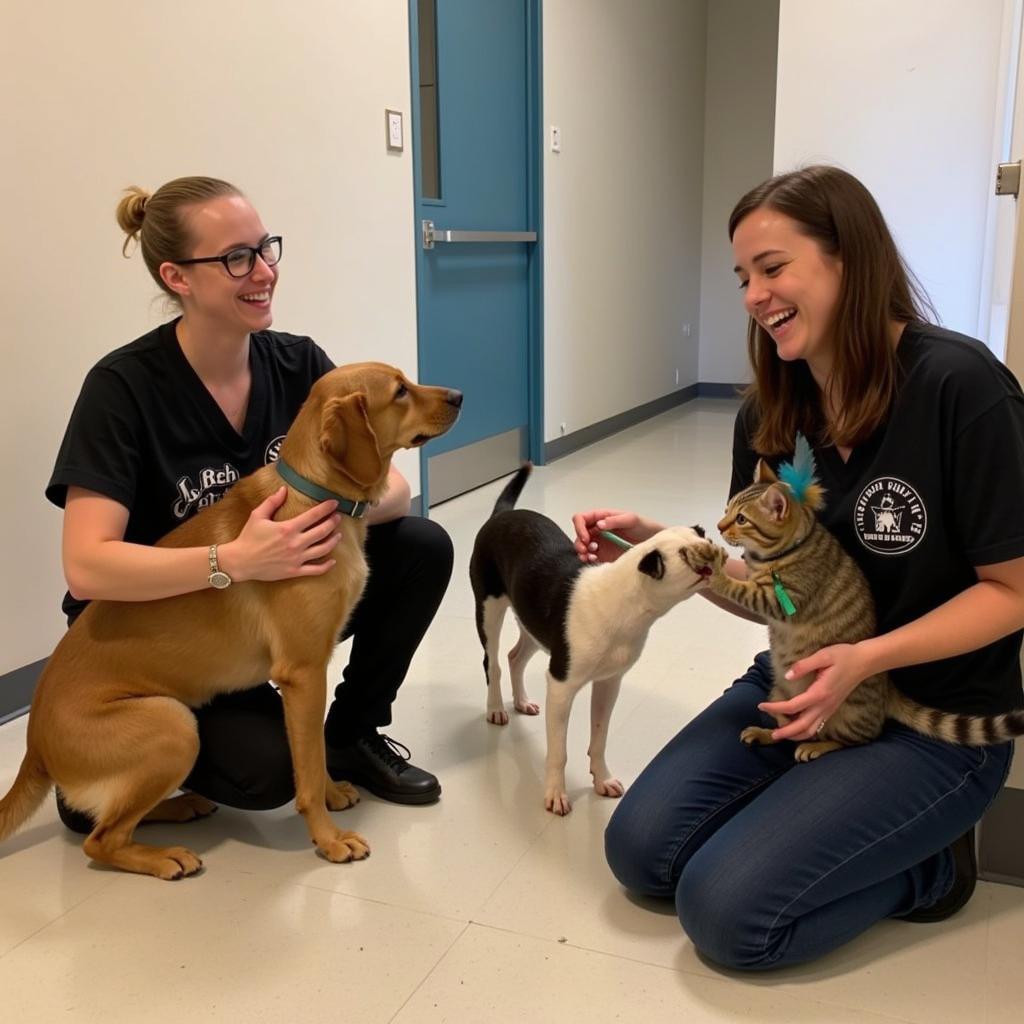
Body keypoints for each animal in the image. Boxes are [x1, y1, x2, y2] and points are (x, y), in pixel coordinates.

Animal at [0, 362, 460, 880]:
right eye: (400, 391)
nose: (459, 396)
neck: (314, 494)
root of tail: (35, 745)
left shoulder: (310, 675)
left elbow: (315, 753)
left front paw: (331, 792)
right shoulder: (303, 674)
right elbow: (306, 765)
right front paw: (327, 838)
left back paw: (181, 806)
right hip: (174, 725)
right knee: (100, 839)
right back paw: (164, 856)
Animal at [468, 466, 708, 815]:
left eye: (704, 540)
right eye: (688, 556)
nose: (718, 550)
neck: (624, 604)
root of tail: (502, 514)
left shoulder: (608, 682)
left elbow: (599, 738)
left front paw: (602, 778)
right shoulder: (561, 686)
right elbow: (559, 751)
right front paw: (555, 793)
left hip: (535, 625)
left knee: (515, 657)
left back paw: (521, 700)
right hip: (489, 609)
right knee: (494, 663)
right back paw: (497, 707)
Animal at [684, 450, 1024, 761]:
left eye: (741, 519)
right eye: (727, 510)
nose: (719, 525)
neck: (780, 552)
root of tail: (886, 687)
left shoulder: (781, 597)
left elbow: (738, 588)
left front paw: (715, 570)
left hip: (845, 713)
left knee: (857, 738)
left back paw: (817, 745)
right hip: (778, 692)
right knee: (785, 729)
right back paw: (764, 732)